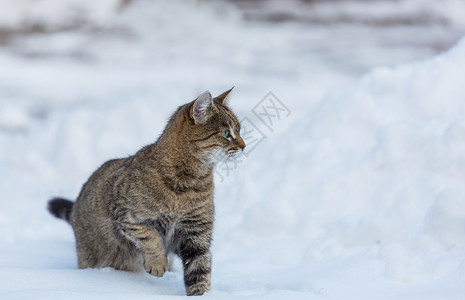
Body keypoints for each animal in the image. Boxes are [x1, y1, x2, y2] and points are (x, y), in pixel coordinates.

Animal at [47, 88, 245, 296]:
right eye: (226, 132)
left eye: (239, 130)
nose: (243, 145)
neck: (190, 183)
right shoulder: (124, 211)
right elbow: (149, 236)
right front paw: (157, 263)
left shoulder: (197, 233)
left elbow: (200, 270)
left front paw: (202, 295)